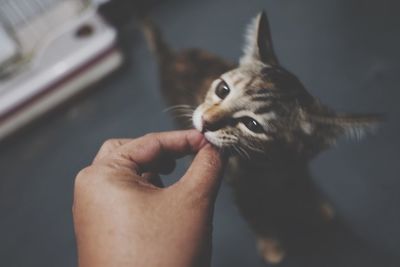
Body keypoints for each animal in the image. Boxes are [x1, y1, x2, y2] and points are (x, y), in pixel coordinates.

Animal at [141, 11, 382, 264]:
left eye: (252, 125)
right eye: (222, 90)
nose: (205, 121)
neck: (270, 168)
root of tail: (170, 55)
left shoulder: (298, 165)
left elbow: (304, 182)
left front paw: (318, 203)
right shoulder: (243, 192)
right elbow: (257, 220)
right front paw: (271, 247)